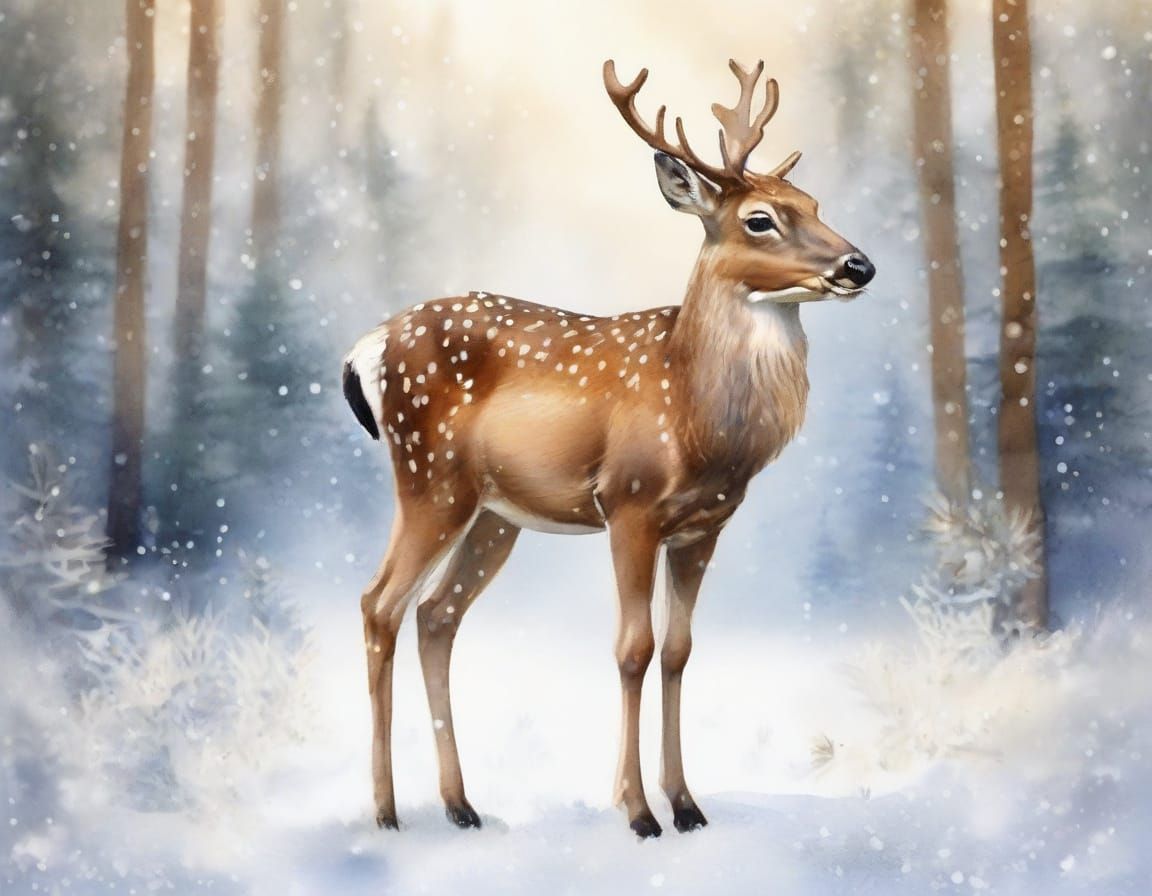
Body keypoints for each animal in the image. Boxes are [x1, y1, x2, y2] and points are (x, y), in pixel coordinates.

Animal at [342, 58, 875, 838]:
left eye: (812, 201)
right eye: (761, 219)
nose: (858, 266)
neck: (698, 419)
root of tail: (367, 347)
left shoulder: (704, 526)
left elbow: (680, 651)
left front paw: (687, 805)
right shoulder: (629, 503)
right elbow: (634, 648)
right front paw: (638, 812)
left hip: (495, 516)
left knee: (436, 616)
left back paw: (461, 805)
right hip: (429, 479)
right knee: (379, 603)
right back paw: (384, 811)